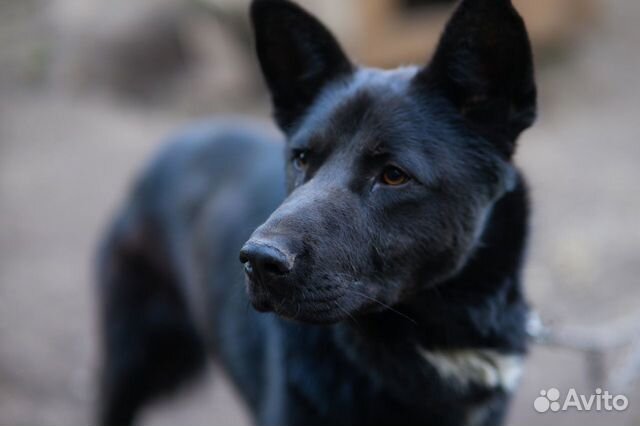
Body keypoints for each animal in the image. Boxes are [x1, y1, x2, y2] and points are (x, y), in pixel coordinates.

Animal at [96, 1, 536, 424]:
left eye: (394, 175)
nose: (258, 261)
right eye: (302, 158)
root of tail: (178, 139)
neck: (435, 344)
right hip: (130, 361)